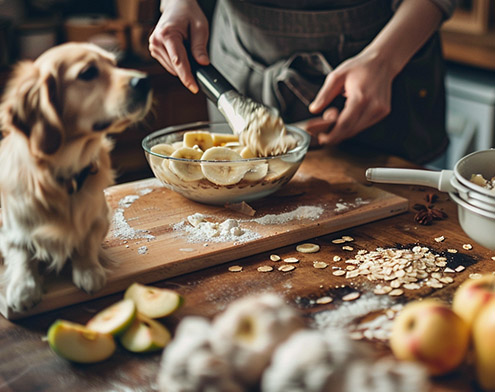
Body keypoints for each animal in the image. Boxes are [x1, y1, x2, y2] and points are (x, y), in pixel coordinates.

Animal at [0, 42, 153, 312]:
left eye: (115, 64)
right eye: (88, 73)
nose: (145, 81)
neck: (64, 175)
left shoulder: (99, 217)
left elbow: (86, 241)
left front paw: (88, 271)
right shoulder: (9, 227)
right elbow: (21, 252)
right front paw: (23, 288)